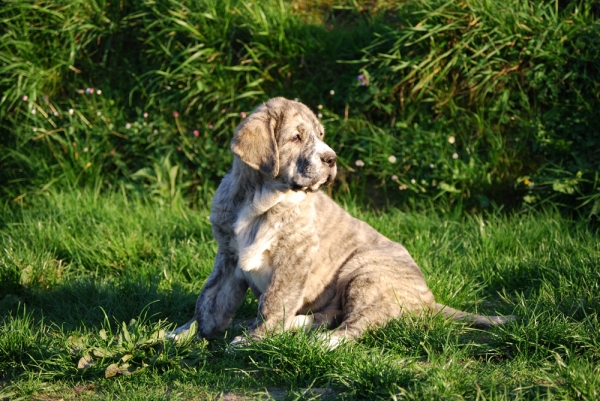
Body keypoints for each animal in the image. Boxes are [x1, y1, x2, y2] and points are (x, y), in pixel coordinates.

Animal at [170, 96, 510, 346]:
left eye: (320, 136)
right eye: (296, 137)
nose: (331, 158)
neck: (261, 200)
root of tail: (430, 300)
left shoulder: (294, 257)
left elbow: (274, 300)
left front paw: (255, 339)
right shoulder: (229, 257)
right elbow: (209, 300)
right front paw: (184, 333)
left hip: (364, 272)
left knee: (360, 322)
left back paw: (322, 342)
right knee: (333, 315)